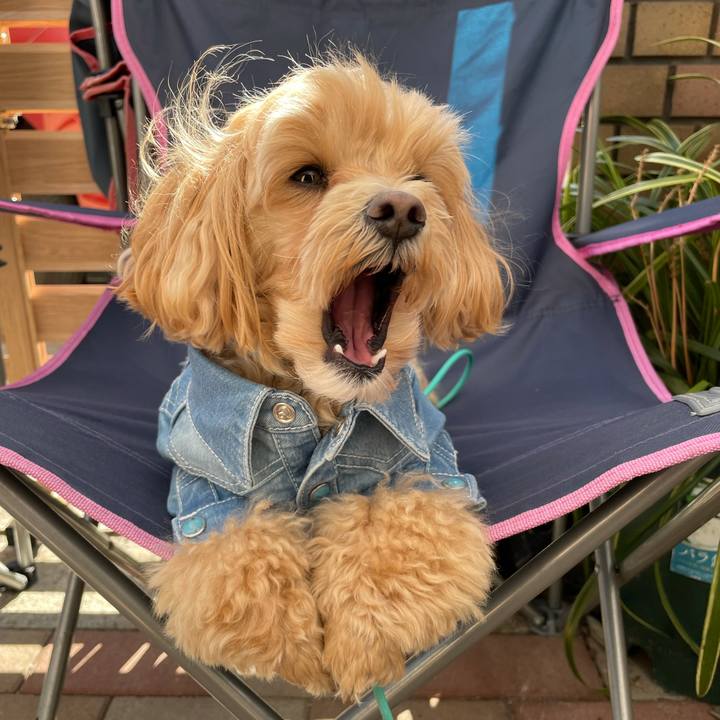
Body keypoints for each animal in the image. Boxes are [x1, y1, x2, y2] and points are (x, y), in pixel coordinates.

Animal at [119, 52, 507, 700]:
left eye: (420, 177)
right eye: (306, 176)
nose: (403, 210)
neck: (319, 402)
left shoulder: (429, 467)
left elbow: (402, 521)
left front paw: (362, 643)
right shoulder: (206, 495)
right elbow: (241, 557)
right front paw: (295, 652)